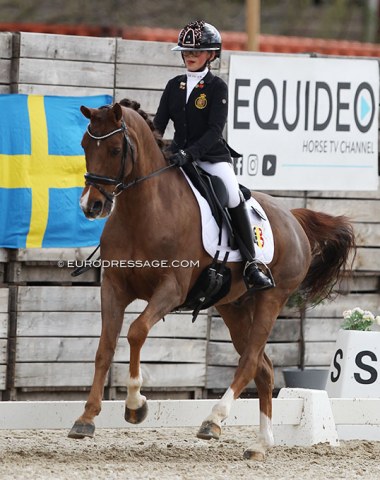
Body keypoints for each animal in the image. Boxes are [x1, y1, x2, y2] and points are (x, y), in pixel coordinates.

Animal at [68, 100, 356, 458]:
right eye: (84, 146)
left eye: (115, 149)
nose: (91, 205)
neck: (144, 211)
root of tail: (292, 217)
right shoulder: (114, 288)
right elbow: (105, 347)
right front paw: (86, 418)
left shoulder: (171, 290)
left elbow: (136, 332)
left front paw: (136, 405)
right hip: (234, 306)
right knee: (263, 367)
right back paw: (260, 444)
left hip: (271, 298)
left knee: (249, 361)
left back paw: (213, 421)